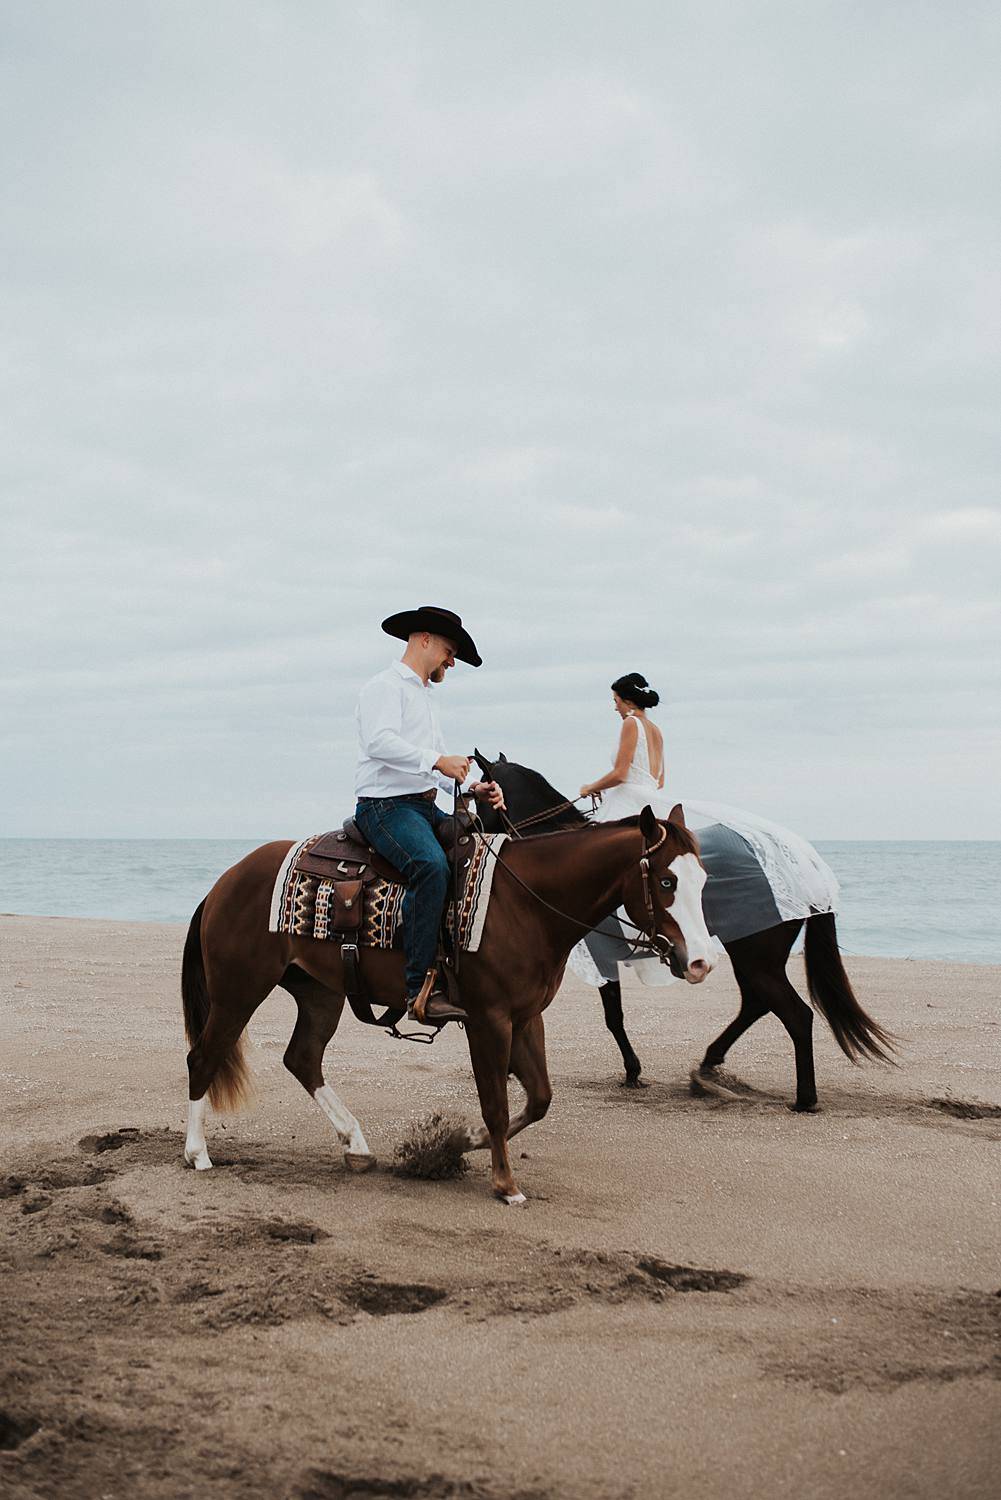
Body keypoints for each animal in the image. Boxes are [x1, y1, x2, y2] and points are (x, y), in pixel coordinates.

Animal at [183, 804, 717, 1200]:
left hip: (320, 993)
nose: (700, 963)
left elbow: (539, 1098)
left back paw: (355, 1144)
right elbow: (496, 1102)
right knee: (203, 1058)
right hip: (238, 991)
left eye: (704, 881)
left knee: (303, 1058)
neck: (525, 903)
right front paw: (505, 1184)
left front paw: (464, 1143)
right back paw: (197, 1153)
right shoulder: (488, 1020)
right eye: (666, 882)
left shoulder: (526, 1018)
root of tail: (225, 881)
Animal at [474, 750, 894, 1116]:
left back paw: (804, 1098)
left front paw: (632, 1070)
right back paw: (710, 1064)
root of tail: (808, 865)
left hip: (756, 958)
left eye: (481, 797)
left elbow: (613, 1015)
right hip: (751, 956)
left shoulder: (597, 956)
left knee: (794, 1013)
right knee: (757, 1004)